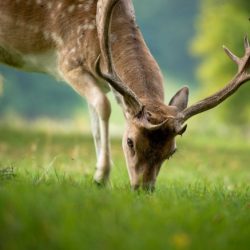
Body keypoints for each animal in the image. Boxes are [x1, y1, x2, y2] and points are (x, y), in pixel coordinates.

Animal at [0, 0, 250, 190]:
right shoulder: (69, 61)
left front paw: (97, 176)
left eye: (172, 152)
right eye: (130, 142)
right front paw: (102, 177)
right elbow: (103, 106)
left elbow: (94, 122)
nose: (143, 189)